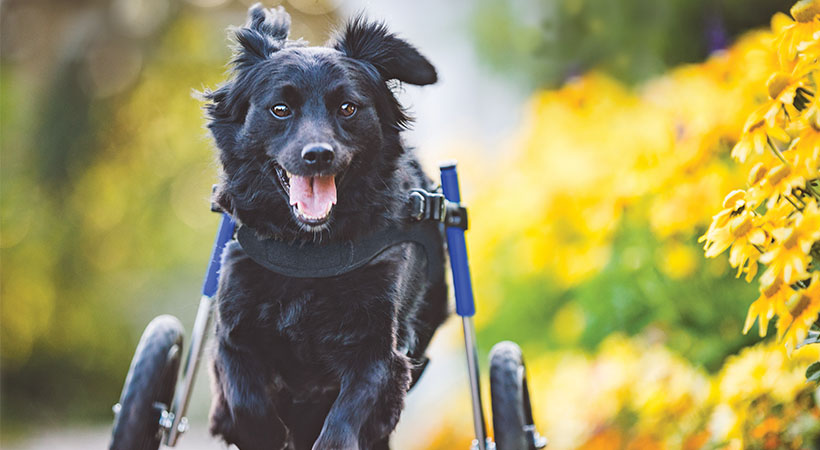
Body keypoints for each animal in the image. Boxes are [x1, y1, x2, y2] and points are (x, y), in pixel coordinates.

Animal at [203, 4, 448, 450]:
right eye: (280, 109)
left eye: (348, 108)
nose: (318, 155)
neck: (309, 248)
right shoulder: (233, 335)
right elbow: (246, 403)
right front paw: (262, 432)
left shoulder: (380, 354)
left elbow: (343, 422)